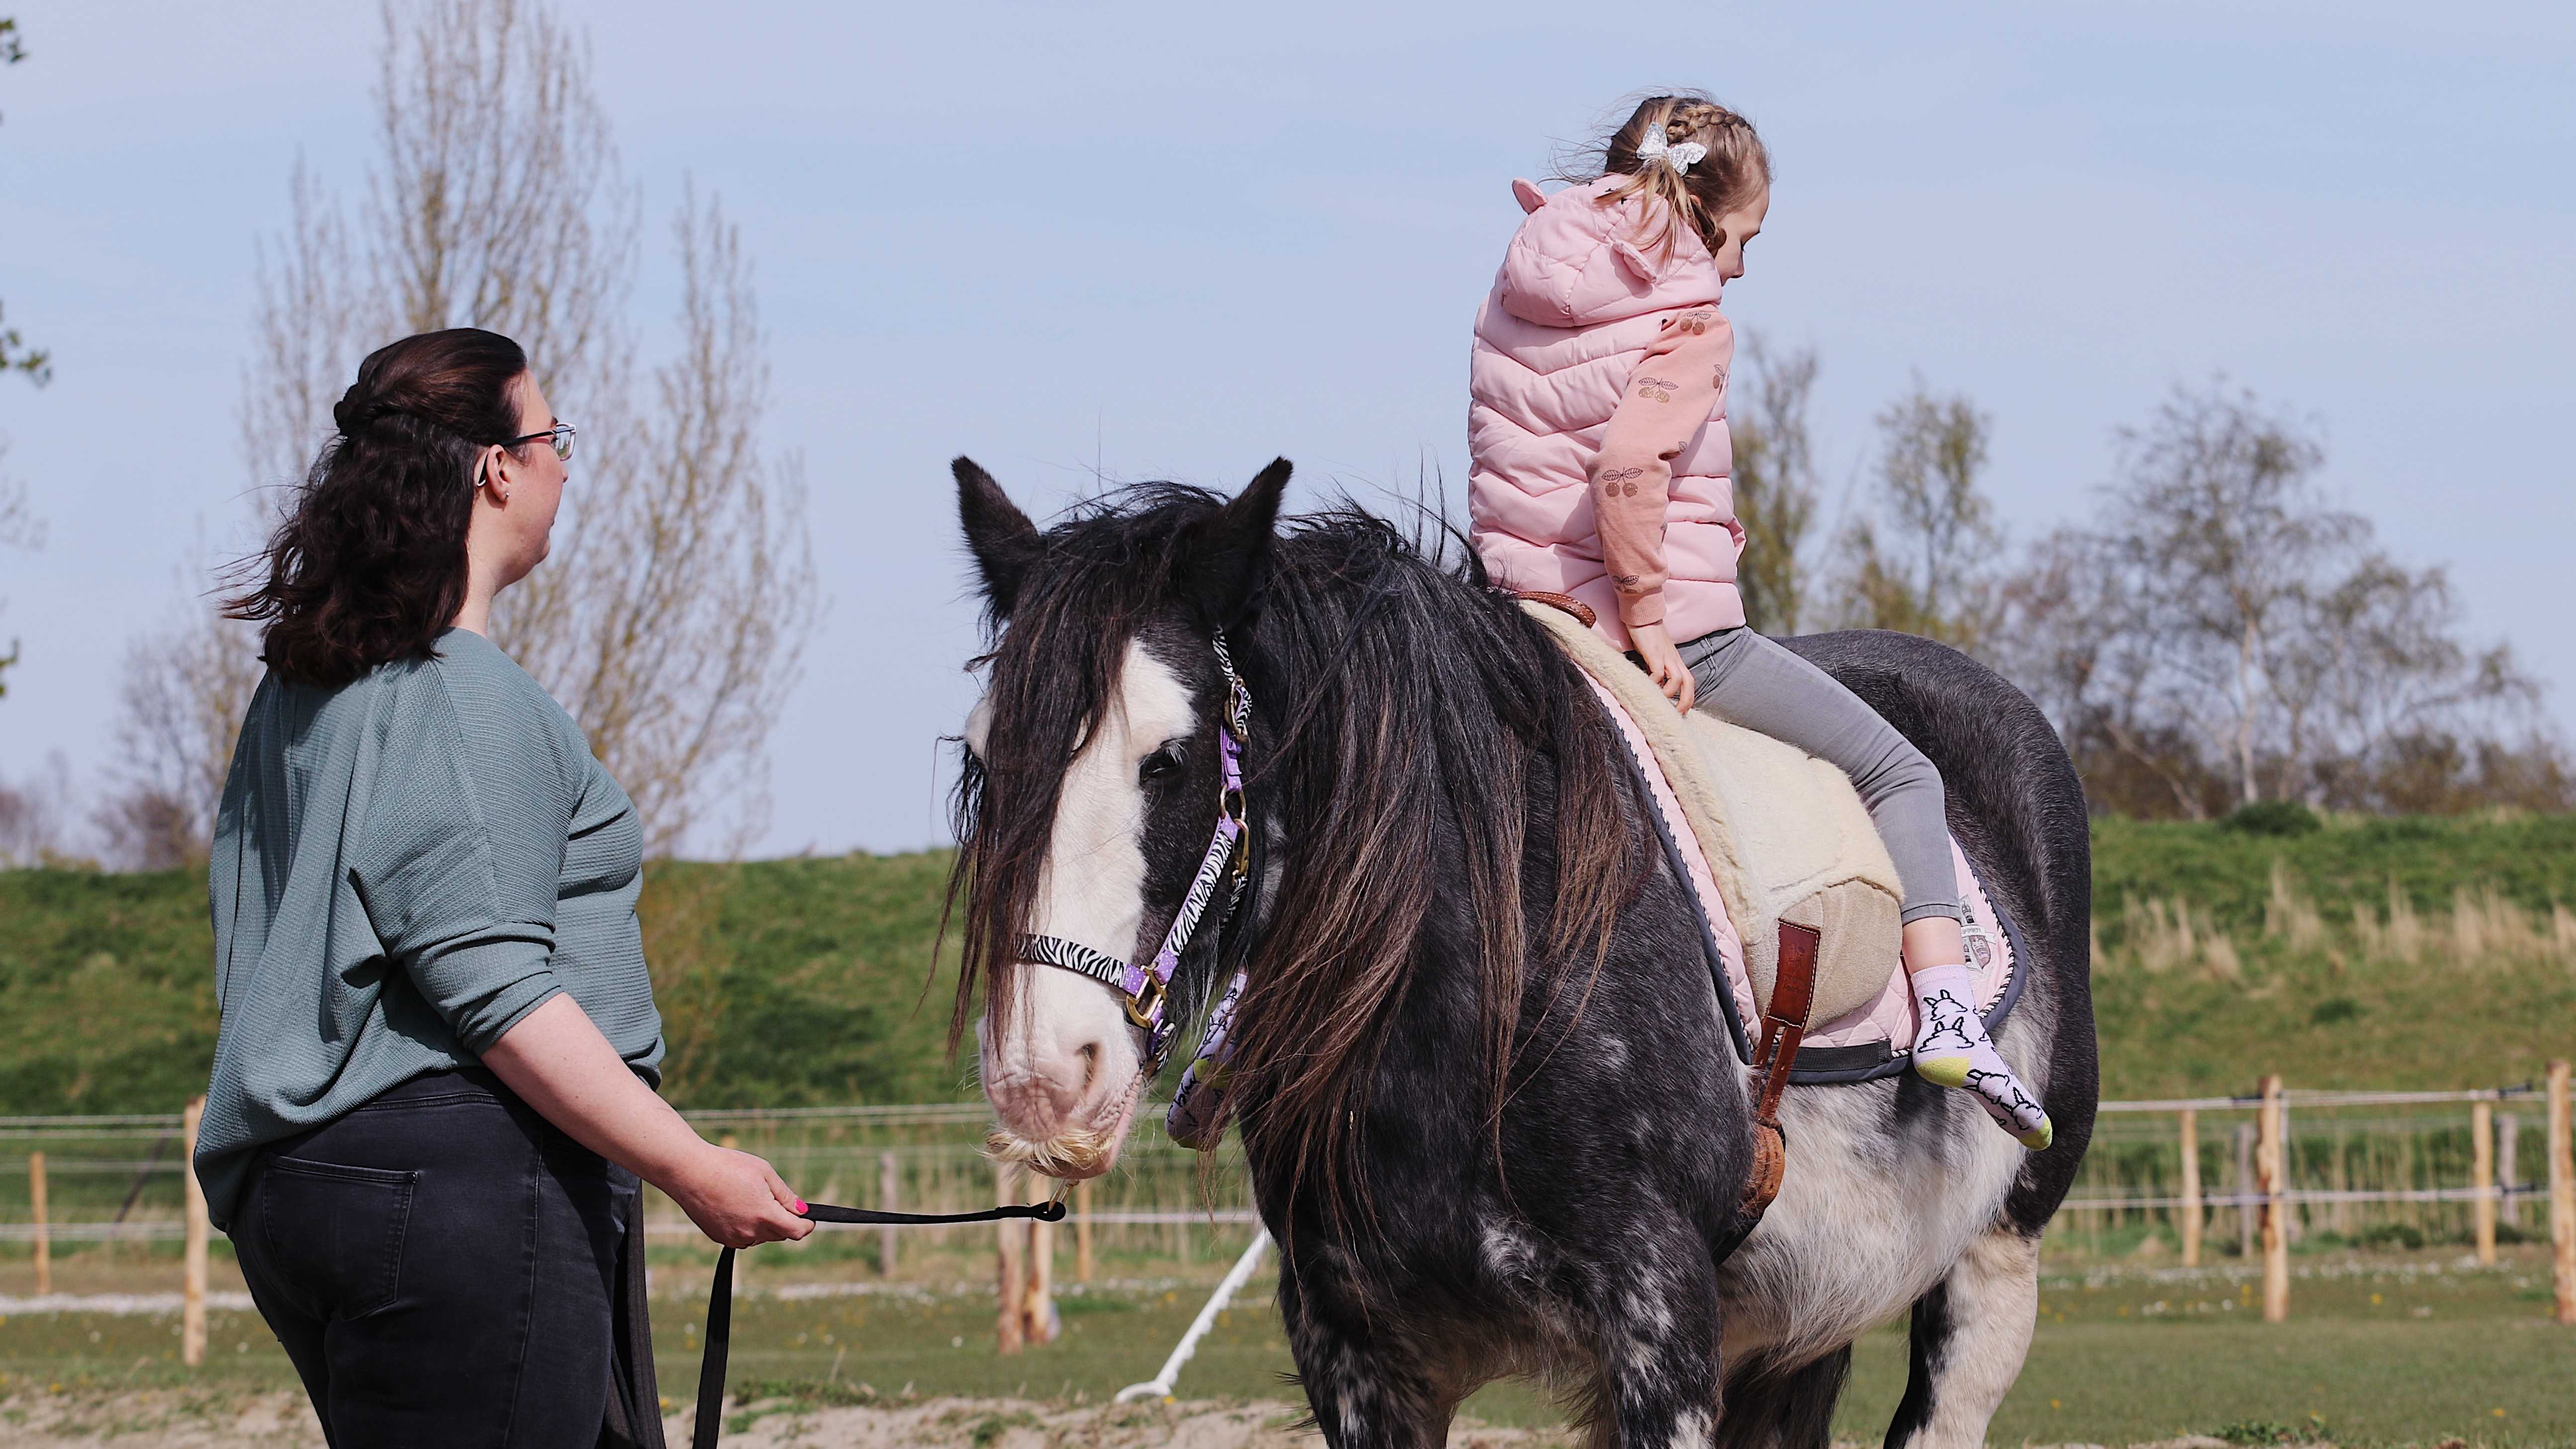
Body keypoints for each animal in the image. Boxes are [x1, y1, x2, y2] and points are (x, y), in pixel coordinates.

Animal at [948, 463, 2091, 1449]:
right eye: (981, 758)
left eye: (1169, 760)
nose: (1044, 1079)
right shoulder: (1354, 1349)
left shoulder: (1662, 1320)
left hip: (1991, 1268)